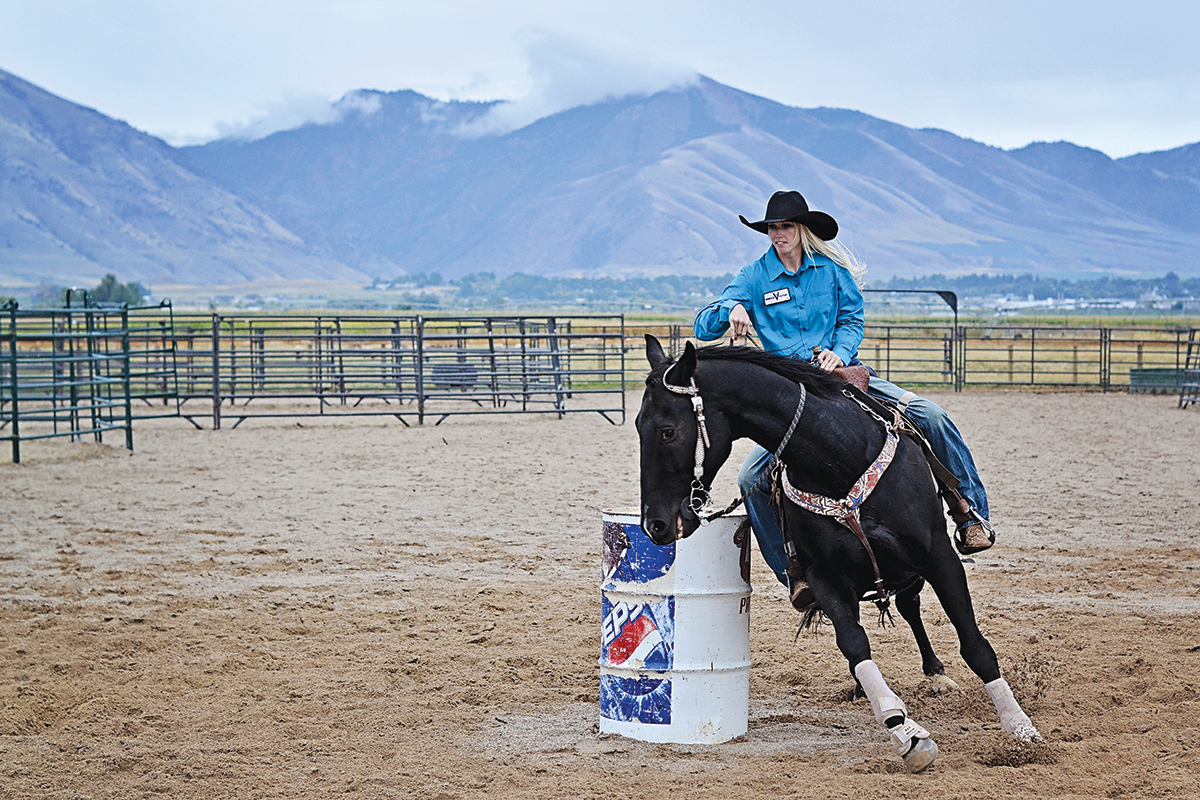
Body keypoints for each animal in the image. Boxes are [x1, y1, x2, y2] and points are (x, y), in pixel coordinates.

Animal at [638, 335, 1041, 772]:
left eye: (667, 432)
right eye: (638, 426)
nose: (655, 525)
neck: (837, 456)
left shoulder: (940, 558)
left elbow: (975, 645)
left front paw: (1020, 729)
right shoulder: (823, 575)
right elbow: (854, 644)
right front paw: (903, 729)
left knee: (910, 607)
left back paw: (937, 673)